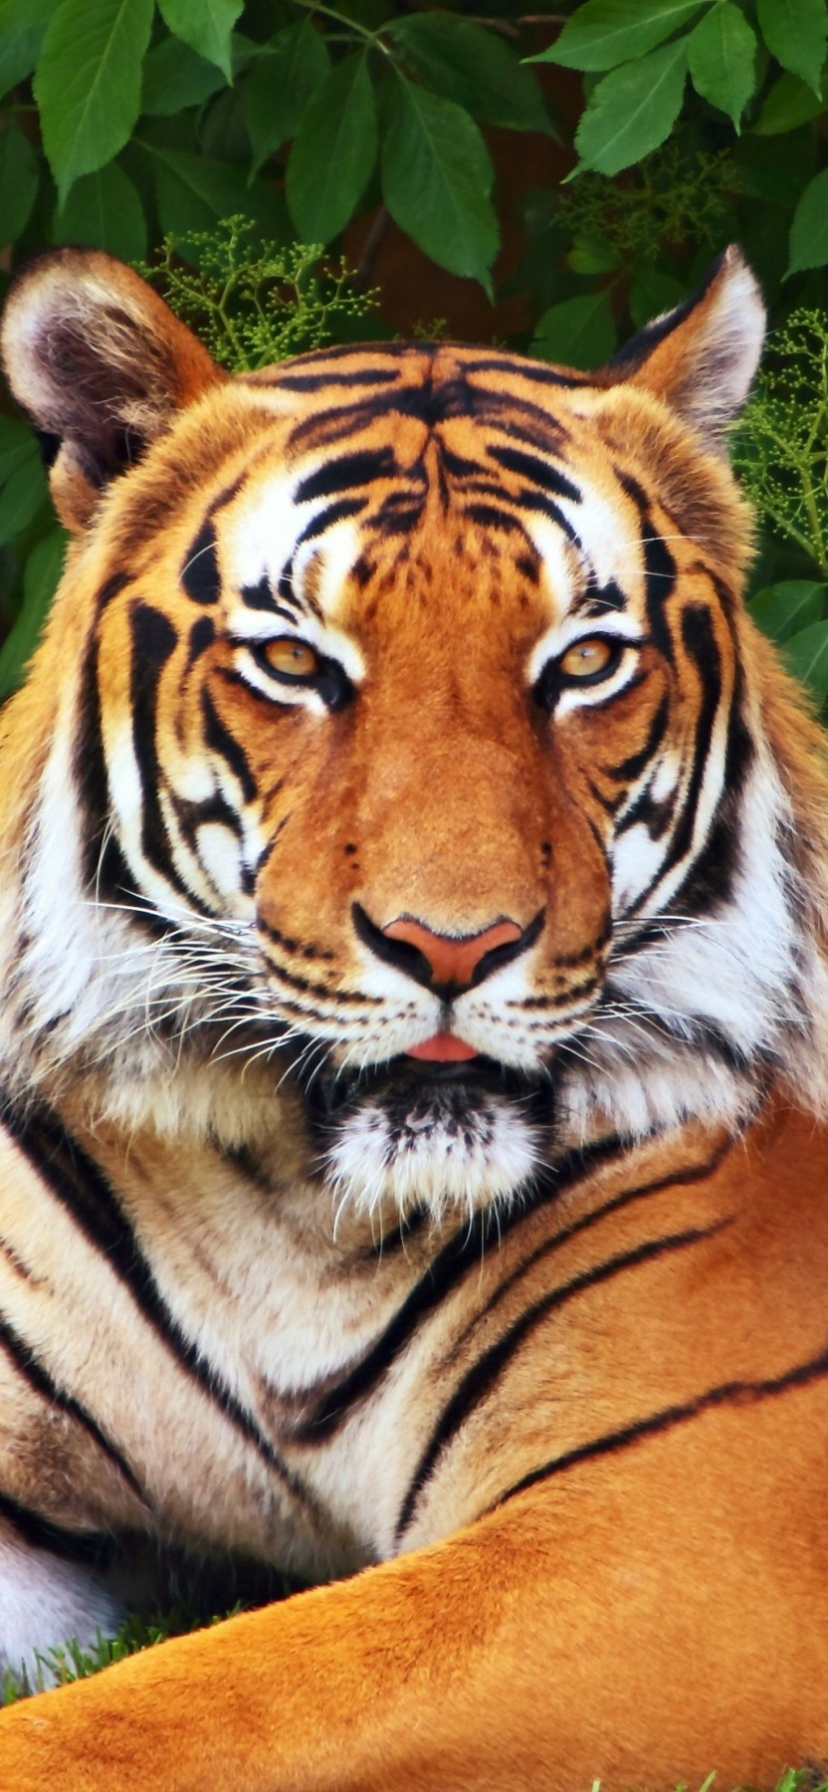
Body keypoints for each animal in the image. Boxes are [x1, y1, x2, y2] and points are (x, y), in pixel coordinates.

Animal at [0, 239, 826, 1792]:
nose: (458, 945)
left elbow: (186, 1705)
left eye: (583, 663)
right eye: (296, 663)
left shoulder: (672, 1526)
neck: (294, 1212)